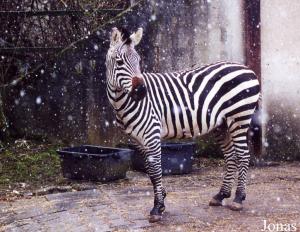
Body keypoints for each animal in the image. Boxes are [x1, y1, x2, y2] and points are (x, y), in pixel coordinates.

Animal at [105, 27, 260, 223]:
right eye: (119, 62)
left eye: (138, 60)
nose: (141, 91)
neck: (122, 102)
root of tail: (247, 69)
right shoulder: (138, 140)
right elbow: (149, 170)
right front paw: (162, 199)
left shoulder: (152, 134)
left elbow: (155, 170)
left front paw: (157, 207)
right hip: (222, 125)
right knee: (231, 156)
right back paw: (221, 195)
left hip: (239, 118)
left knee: (243, 155)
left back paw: (238, 198)